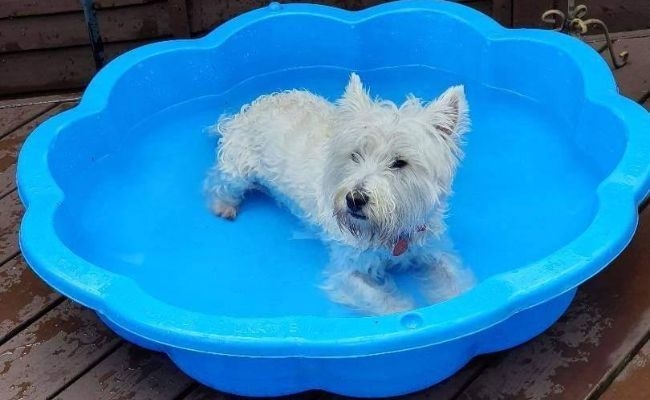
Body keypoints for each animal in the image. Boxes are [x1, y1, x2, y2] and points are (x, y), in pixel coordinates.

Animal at [205, 73, 474, 314]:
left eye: (400, 162)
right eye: (355, 155)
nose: (354, 199)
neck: (389, 233)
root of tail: (249, 109)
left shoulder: (432, 248)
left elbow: (456, 281)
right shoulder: (347, 271)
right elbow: (386, 304)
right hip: (239, 170)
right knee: (218, 182)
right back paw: (223, 206)